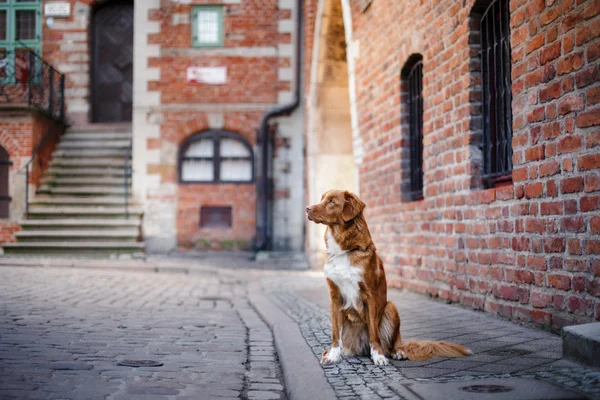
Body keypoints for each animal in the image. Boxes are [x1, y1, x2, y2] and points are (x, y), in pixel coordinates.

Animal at [308, 190, 472, 366]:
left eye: (331, 201)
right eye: (322, 199)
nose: (307, 209)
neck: (344, 249)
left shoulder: (370, 295)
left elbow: (374, 332)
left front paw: (378, 356)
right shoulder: (334, 296)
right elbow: (335, 332)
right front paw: (333, 355)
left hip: (390, 308)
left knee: (392, 343)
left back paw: (396, 352)